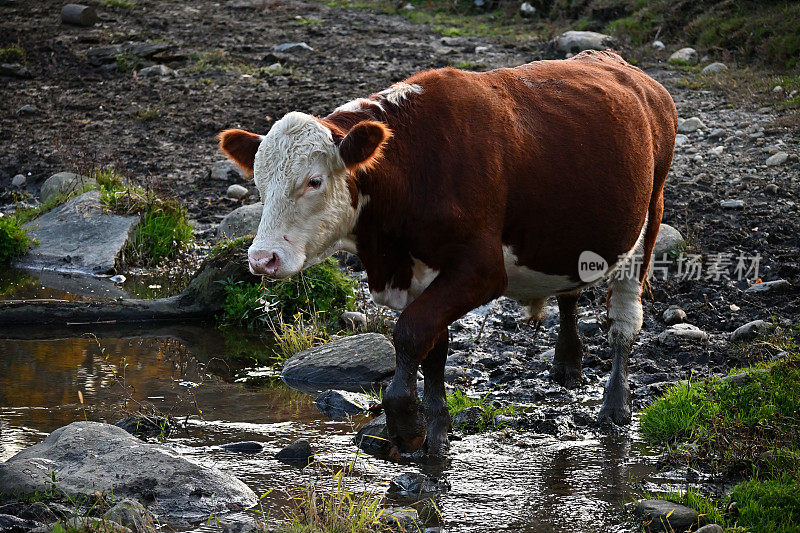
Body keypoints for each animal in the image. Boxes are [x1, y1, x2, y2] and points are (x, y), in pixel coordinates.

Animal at [217, 50, 676, 456]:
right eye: (258, 182)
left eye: (314, 181)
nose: (262, 259)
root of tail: (616, 62)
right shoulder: (423, 275)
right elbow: (433, 349)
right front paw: (437, 433)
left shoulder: (481, 270)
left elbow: (411, 333)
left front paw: (407, 424)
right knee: (571, 290)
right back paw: (567, 363)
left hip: (648, 219)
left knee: (623, 321)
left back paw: (615, 405)